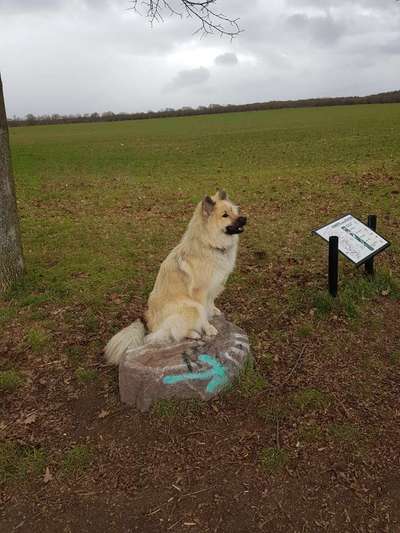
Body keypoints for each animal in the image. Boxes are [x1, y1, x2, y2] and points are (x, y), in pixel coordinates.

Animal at [104, 189, 245, 364]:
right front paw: (208, 328)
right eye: (225, 215)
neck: (210, 244)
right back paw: (193, 333)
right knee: (171, 333)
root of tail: (148, 321)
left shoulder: (213, 287)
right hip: (190, 306)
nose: (244, 218)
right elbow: (204, 315)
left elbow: (210, 304)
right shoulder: (199, 294)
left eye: (235, 211)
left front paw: (214, 311)